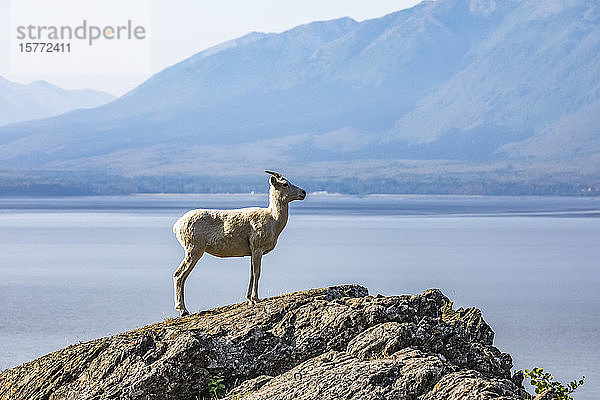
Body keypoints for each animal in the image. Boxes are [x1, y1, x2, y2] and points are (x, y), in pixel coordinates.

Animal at [172, 169, 304, 316]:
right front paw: (256, 299)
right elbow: (257, 273)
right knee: (179, 275)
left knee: (182, 276)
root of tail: (177, 226)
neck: (273, 221)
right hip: (194, 249)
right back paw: (183, 310)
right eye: (285, 184)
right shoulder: (257, 247)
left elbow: (251, 273)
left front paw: (249, 299)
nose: (303, 192)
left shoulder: (252, 251)